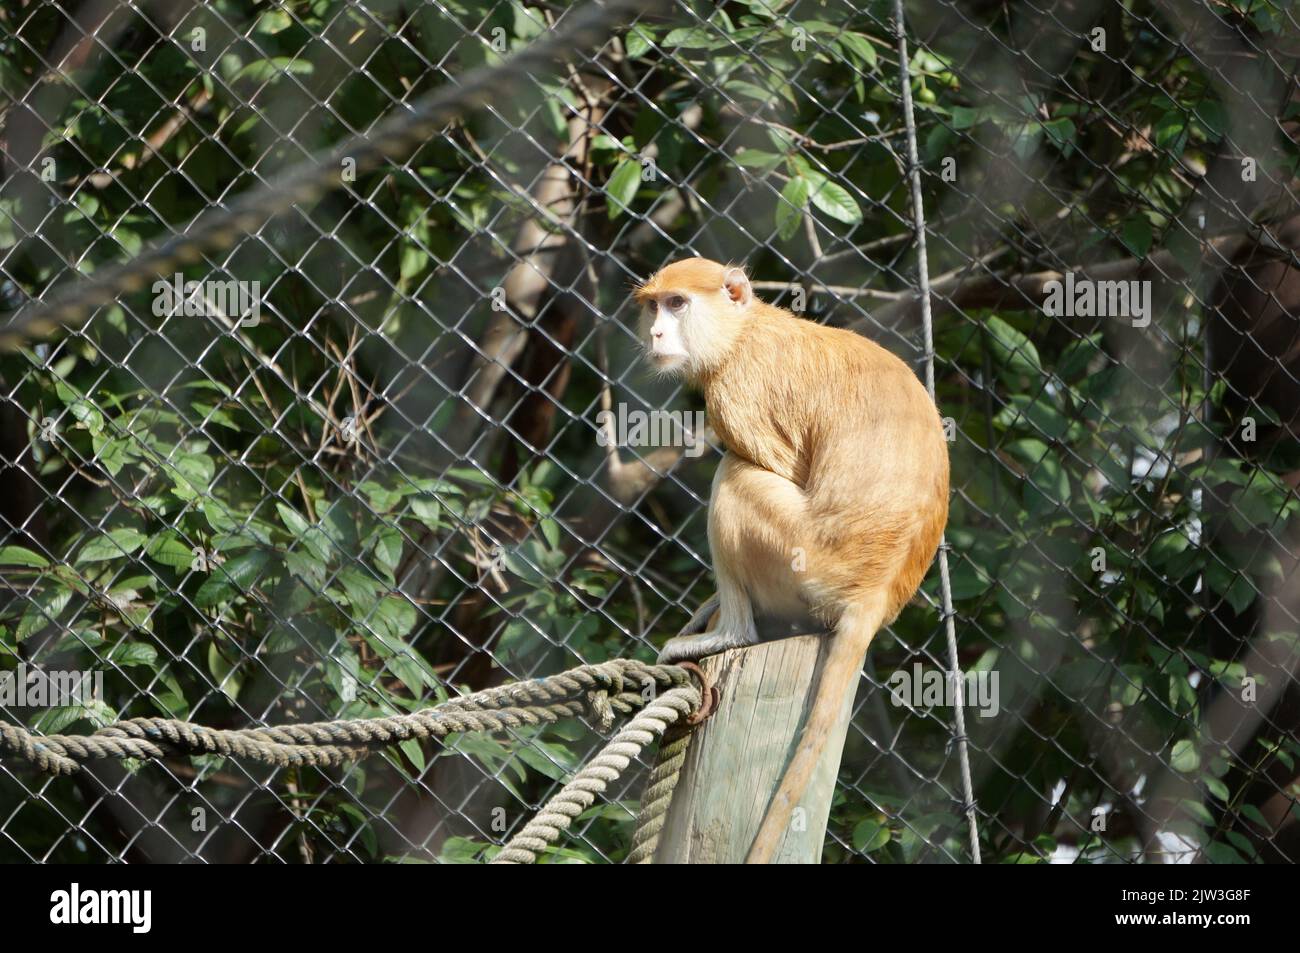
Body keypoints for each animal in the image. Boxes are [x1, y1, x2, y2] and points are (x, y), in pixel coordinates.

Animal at [637, 258, 951, 863]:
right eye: (653, 305)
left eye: (678, 304)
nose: (656, 334)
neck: (742, 332)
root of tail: (873, 592)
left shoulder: (737, 391)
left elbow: (767, 464)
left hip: (806, 562)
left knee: (736, 477)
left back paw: (732, 632)